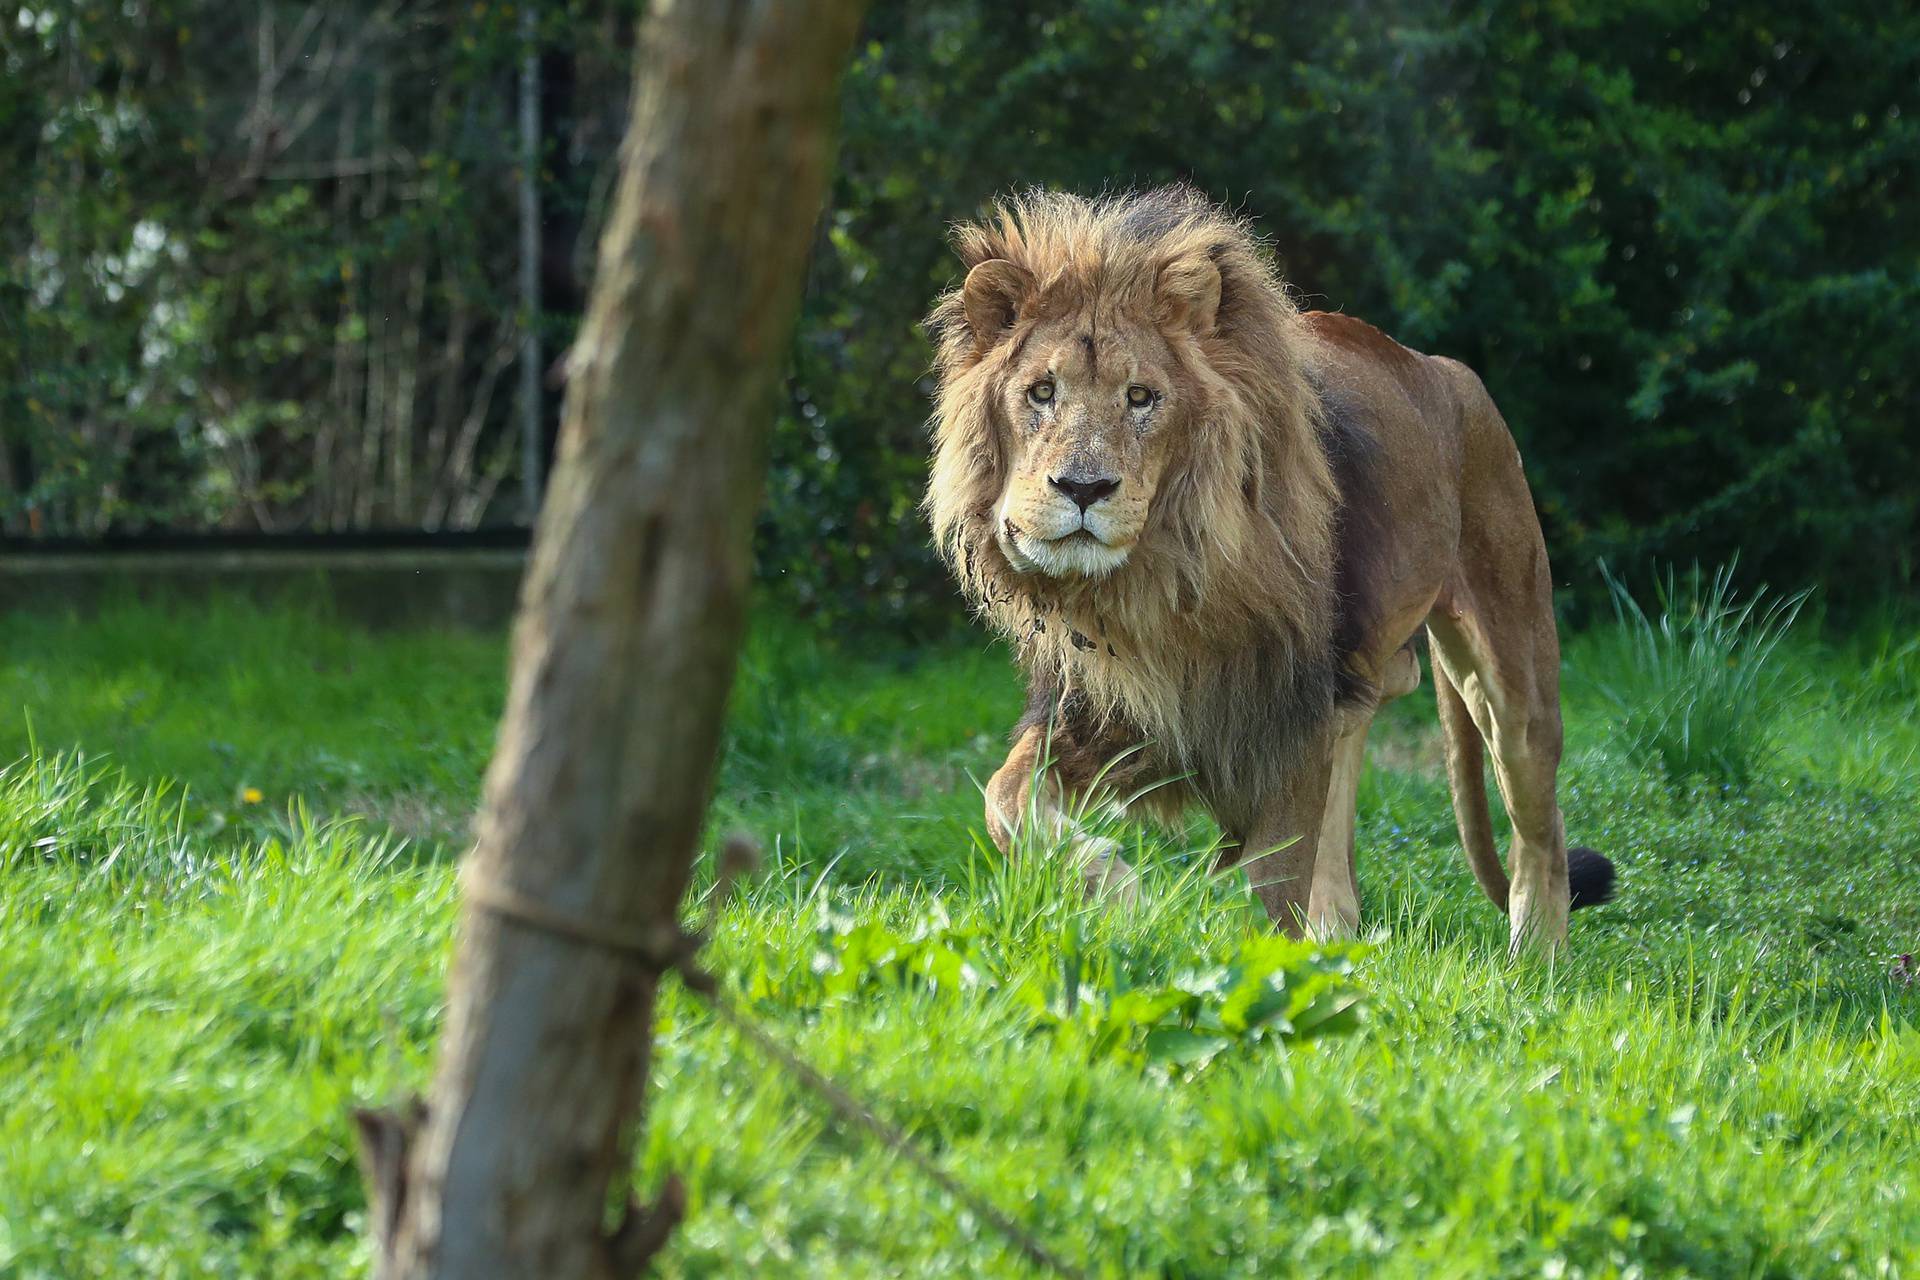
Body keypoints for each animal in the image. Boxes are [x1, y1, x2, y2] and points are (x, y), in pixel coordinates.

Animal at [921, 188, 1612, 951]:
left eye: (1141, 397)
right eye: (1041, 392)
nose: (1082, 488)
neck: (1158, 583)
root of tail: (1445, 370)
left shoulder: (1290, 707)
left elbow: (1275, 877)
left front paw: (1274, 965)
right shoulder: (1110, 705)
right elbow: (1004, 800)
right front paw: (1124, 894)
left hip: (1510, 659)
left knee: (1538, 818)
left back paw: (1534, 957)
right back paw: (1344, 934)